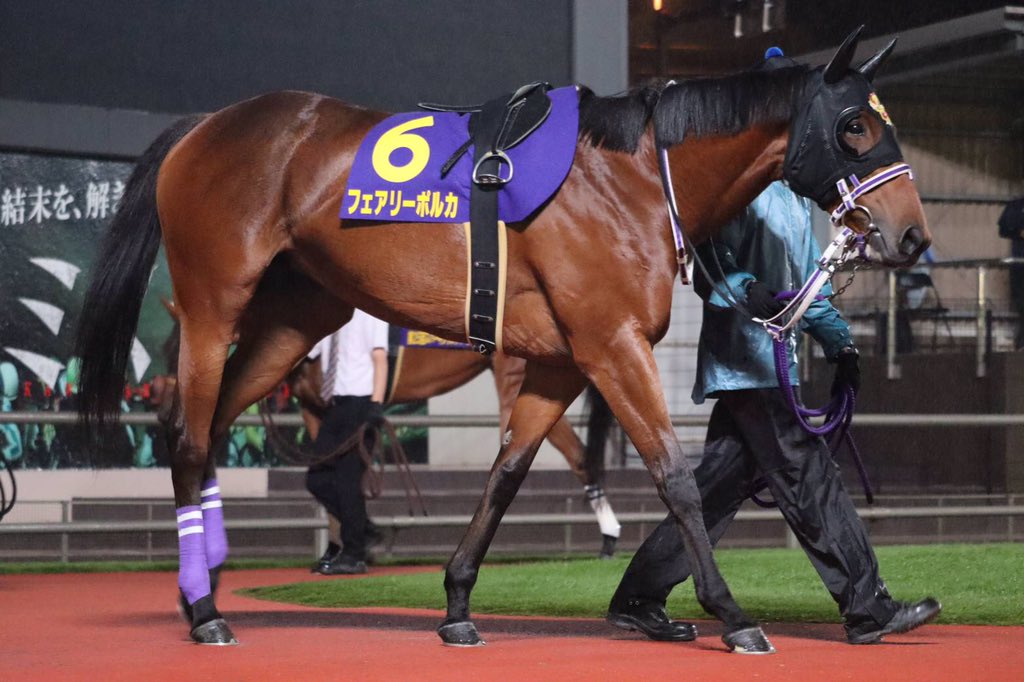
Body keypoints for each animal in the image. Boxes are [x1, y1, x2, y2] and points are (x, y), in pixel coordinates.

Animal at [75, 28, 929, 653]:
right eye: (856, 126)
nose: (914, 237)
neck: (629, 180)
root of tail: (206, 127)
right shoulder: (611, 344)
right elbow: (673, 475)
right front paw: (733, 613)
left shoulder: (556, 362)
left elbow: (507, 475)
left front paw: (457, 602)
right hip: (213, 304)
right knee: (189, 436)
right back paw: (202, 609)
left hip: (292, 321)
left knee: (212, 426)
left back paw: (210, 578)